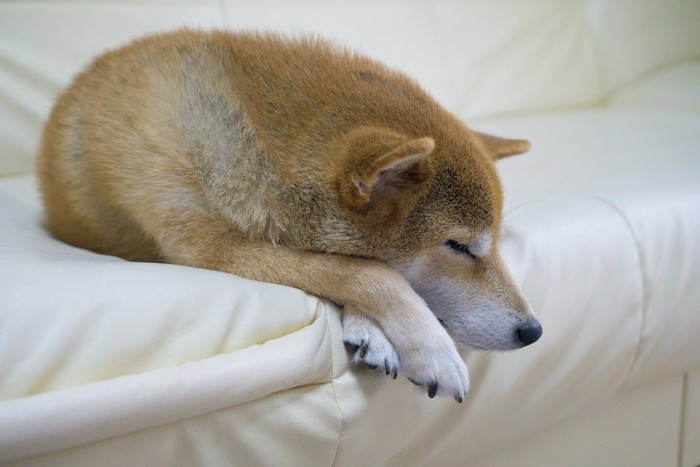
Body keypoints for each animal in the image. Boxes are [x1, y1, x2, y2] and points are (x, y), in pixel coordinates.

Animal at [37, 29, 540, 402]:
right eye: (457, 245)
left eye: (495, 241)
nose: (533, 331)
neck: (252, 143)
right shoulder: (210, 249)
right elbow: (370, 272)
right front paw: (431, 348)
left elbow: (356, 267)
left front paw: (370, 330)